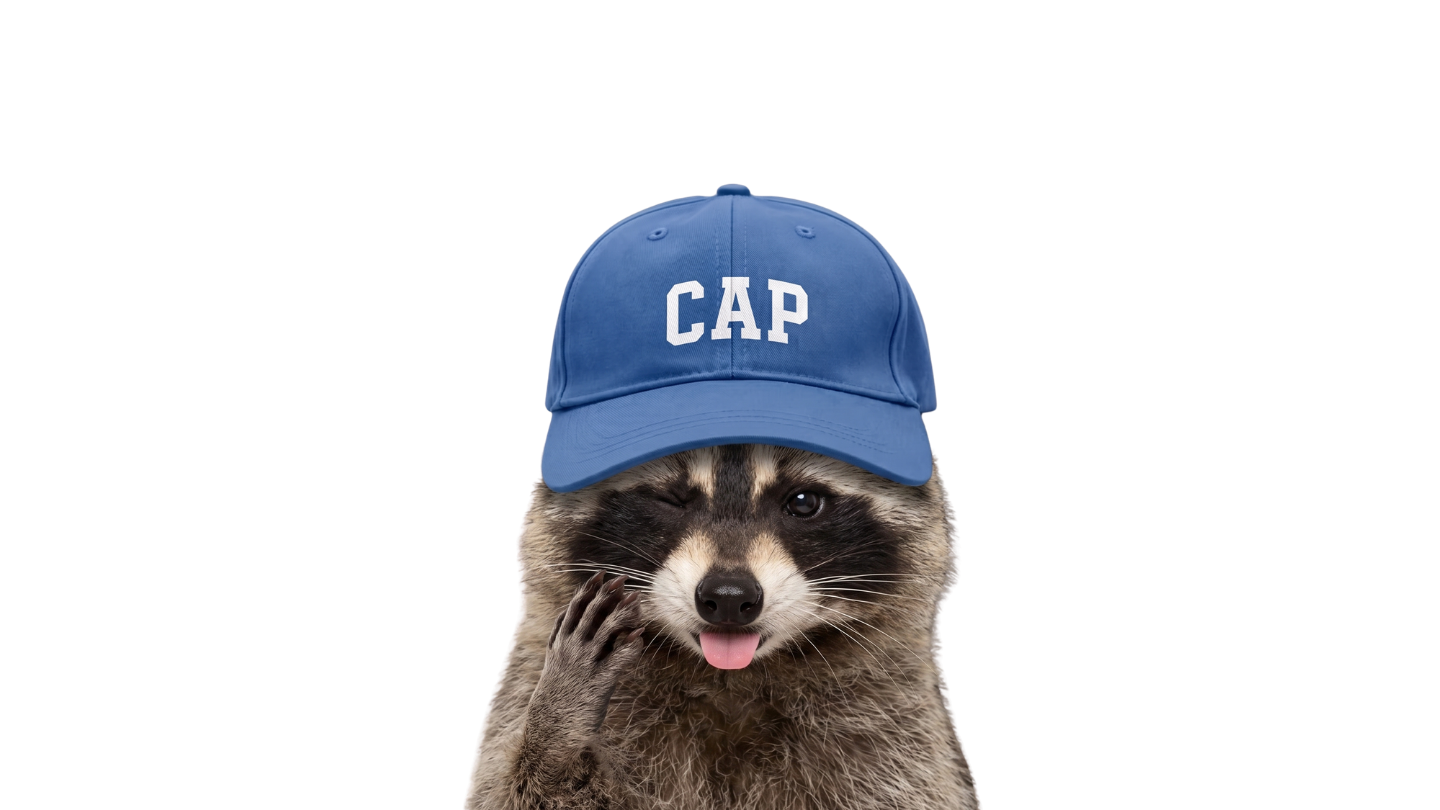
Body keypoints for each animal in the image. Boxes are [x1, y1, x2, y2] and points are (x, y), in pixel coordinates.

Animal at [463, 443, 978, 810]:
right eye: (671, 498)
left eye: (803, 502)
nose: (729, 598)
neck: (730, 679)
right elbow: (505, 793)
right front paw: (557, 728)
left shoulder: (894, 737)